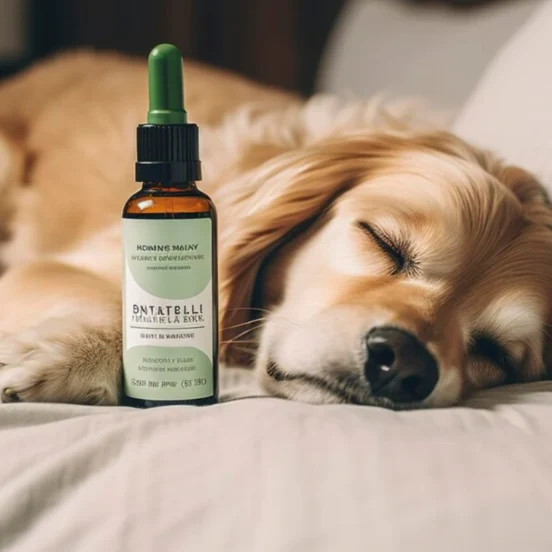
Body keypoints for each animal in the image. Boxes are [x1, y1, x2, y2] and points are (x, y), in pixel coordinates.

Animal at [0, 51, 548, 408]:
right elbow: (120, 303)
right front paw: (68, 356)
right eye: (383, 242)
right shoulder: (53, 265)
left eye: (496, 354)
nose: (404, 363)